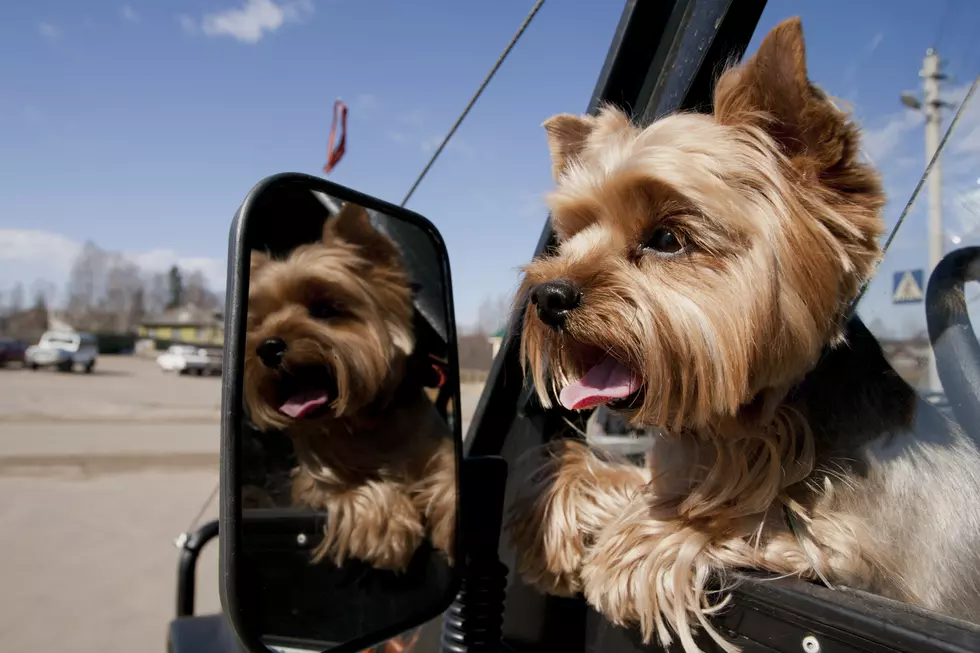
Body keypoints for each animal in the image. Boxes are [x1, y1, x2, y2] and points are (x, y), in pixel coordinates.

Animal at [241, 202, 456, 572]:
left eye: (324, 309)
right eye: (257, 322)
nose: (267, 347)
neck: (362, 421)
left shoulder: (437, 451)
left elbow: (454, 479)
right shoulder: (313, 481)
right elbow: (347, 488)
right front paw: (388, 527)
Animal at [506, 15, 980, 652]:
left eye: (666, 238)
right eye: (573, 233)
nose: (548, 297)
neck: (740, 423)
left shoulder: (865, 555)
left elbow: (753, 519)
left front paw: (633, 546)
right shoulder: (675, 467)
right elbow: (606, 473)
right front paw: (545, 526)